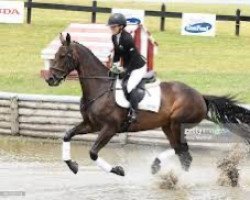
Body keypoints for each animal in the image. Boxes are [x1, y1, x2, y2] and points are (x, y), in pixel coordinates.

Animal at [45, 33, 250, 177]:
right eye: (55, 55)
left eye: (63, 55)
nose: (50, 79)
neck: (99, 88)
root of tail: (200, 96)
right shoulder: (91, 125)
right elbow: (67, 135)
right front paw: (72, 165)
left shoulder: (109, 128)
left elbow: (93, 152)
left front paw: (118, 170)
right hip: (167, 126)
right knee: (182, 152)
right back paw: (164, 170)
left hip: (177, 123)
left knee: (182, 151)